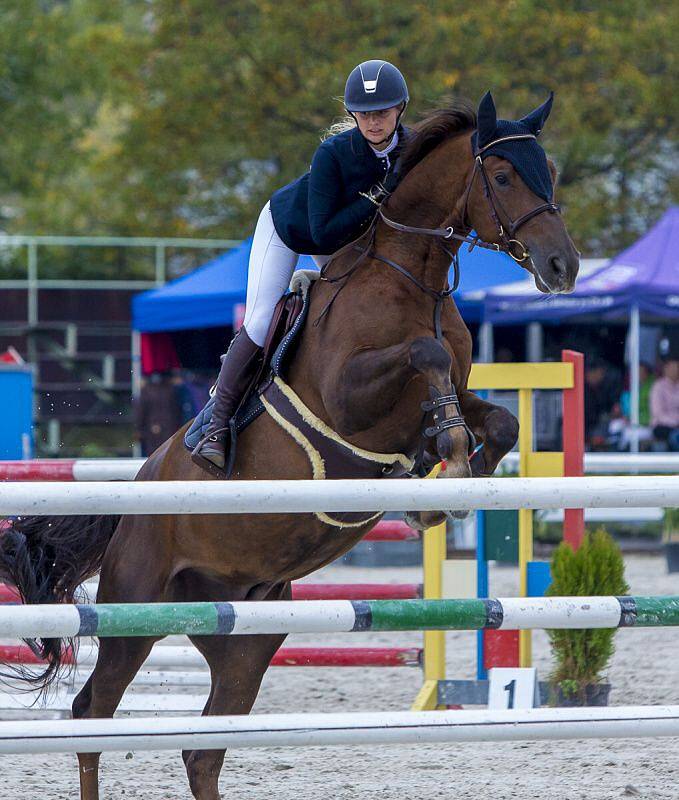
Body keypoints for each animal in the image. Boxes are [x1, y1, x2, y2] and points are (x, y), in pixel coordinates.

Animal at [1, 92, 580, 792]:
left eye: (549, 169)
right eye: (501, 175)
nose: (564, 266)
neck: (412, 277)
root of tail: (129, 504)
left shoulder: (452, 394)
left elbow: (497, 421)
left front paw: (442, 482)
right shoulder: (352, 395)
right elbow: (427, 351)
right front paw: (443, 469)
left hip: (247, 627)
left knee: (203, 747)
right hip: (135, 611)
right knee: (92, 715)